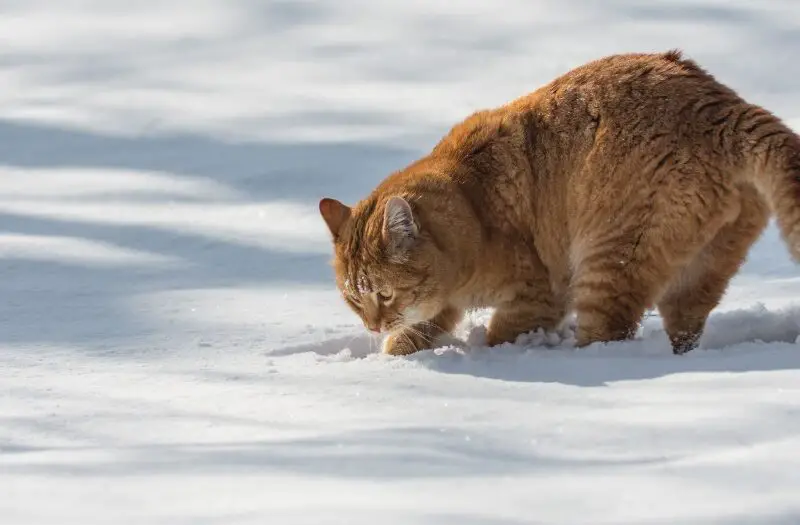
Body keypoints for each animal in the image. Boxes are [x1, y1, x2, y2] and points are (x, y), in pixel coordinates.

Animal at [318, 51, 800, 356]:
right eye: (354, 300)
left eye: (383, 293)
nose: (372, 325)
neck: (474, 202)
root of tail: (724, 106)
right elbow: (420, 326)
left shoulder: (538, 296)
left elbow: (500, 334)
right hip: (698, 272)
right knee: (684, 328)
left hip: (608, 263)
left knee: (608, 336)